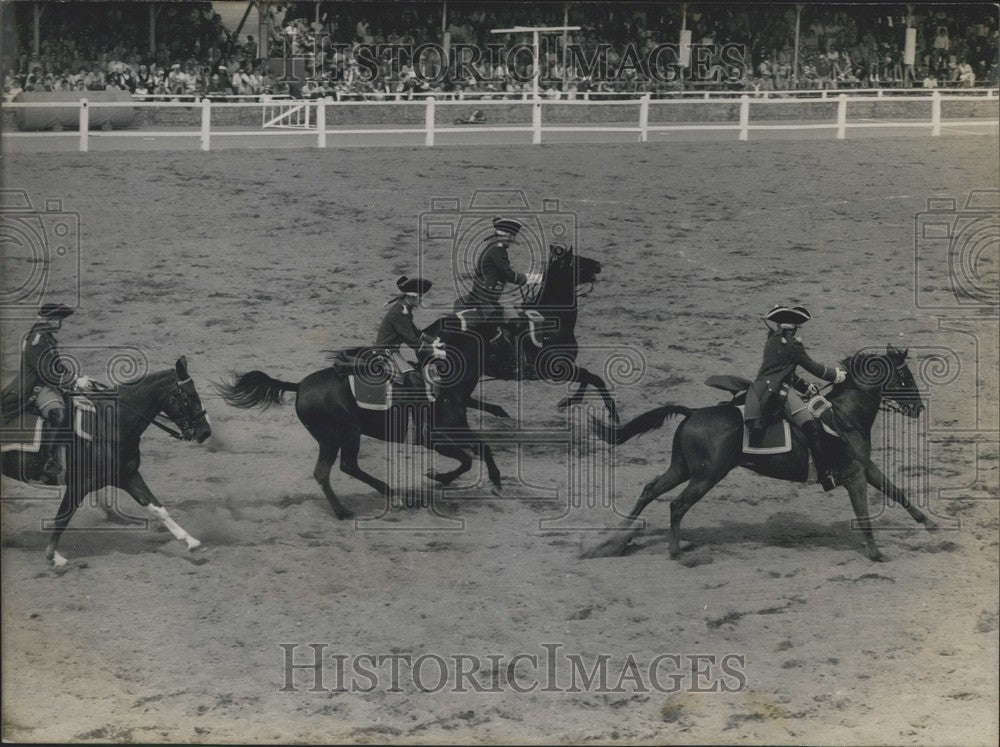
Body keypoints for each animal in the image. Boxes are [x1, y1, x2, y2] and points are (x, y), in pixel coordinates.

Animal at [0, 358, 211, 568]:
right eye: (191, 396)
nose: (206, 432)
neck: (110, 425)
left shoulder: (127, 476)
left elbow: (157, 507)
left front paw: (191, 541)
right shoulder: (79, 485)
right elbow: (62, 518)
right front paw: (53, 556)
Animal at [436, 244, 620, 424]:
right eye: (577, 261)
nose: (598, 265)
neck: (553, 319)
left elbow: (589, 377)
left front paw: (569, 401)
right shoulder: (558, 369)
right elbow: (593, 377)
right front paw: (610, 413)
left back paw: (499, 412)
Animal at [584, 348, 936, 564]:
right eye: (905, 378)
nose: (919, 409)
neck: (843, 416)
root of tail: (693, 412)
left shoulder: (865, 466)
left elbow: (897, 491)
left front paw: (930, 524)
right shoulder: (853, 475)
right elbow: (863, 515)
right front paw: (876, 554)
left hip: (683, 469)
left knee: (650, 491)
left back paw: (615, 542)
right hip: (706, 476)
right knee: (677, 504)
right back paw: (676, 551)